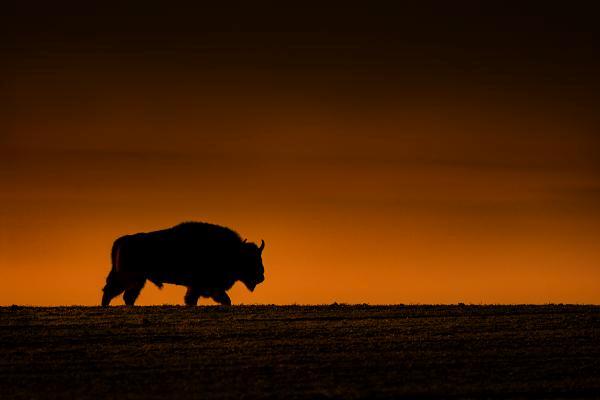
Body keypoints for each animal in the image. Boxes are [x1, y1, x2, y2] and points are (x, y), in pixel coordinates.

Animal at [101, 222, 264, 306]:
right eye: (250, 259)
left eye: (259, 257)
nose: (261, 277)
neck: (232, 251)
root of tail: (121, 241)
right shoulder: (203, 286)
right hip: (129, 277)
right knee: (113, 291)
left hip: (139, 280)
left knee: (126, 295)